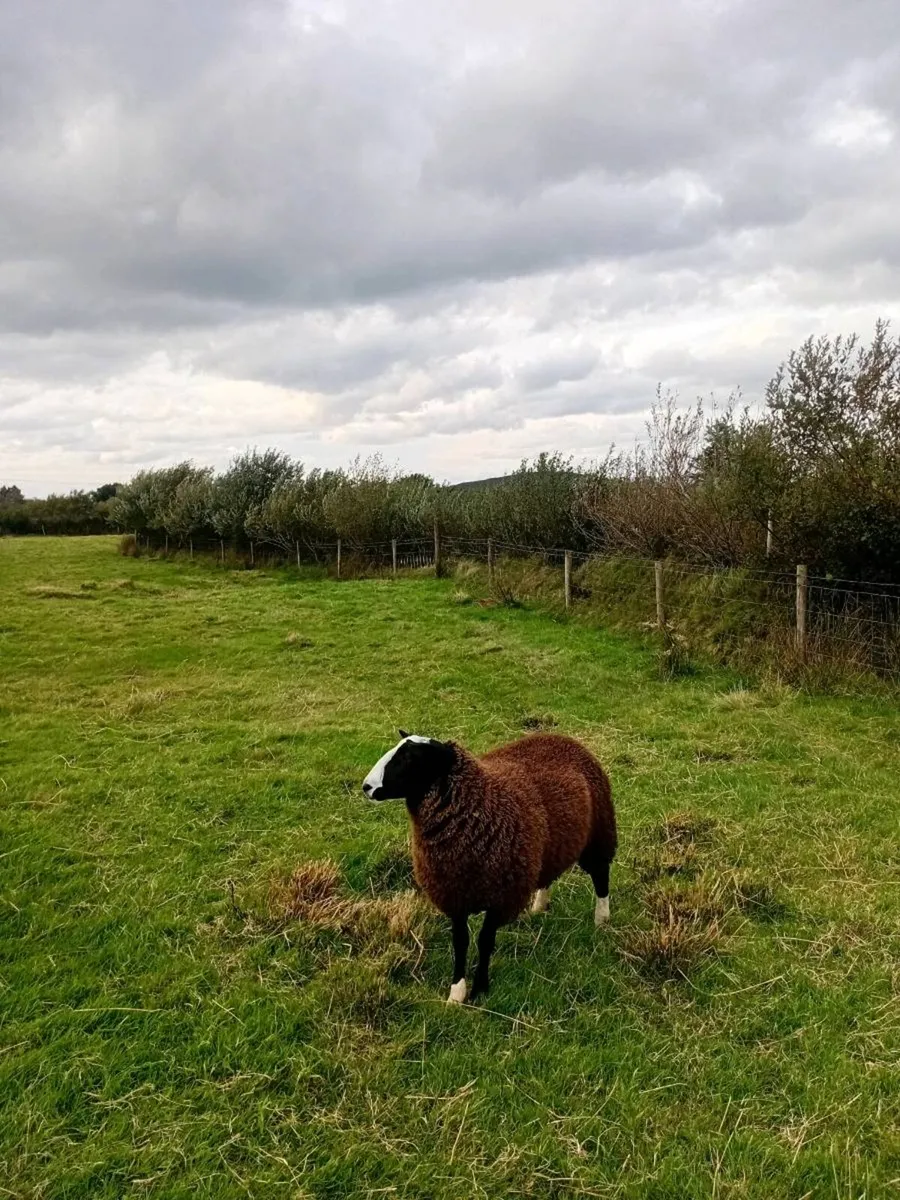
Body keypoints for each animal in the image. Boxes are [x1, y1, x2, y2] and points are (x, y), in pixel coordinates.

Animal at [362, 729, 616, 1004]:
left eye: (410, 758)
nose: (367, 787)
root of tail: (561, 737)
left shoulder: (501, 898)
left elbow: (485, 941)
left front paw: (480, 987)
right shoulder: (455, 895)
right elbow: (460, 942)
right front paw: (456, 993)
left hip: (599, 833)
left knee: (601, 877)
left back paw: (602, 920)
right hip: (550, 846)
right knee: (548, 875)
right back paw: (539, 907)